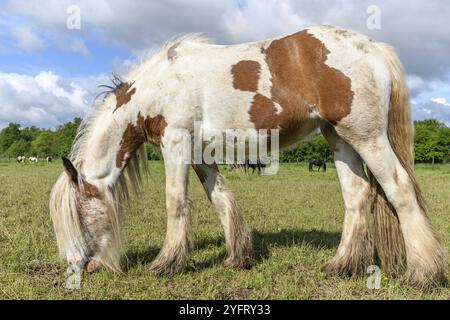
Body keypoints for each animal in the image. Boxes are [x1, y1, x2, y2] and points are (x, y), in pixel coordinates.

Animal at [50, 25, 446, 290]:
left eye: (80, 217)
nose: (79, 266)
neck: (161, 85)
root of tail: (372, 47)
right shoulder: (200, 153)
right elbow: (221, 199)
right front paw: (238, 257)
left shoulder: (175, 143)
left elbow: (176, 202)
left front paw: (166, 263)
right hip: (339, 139)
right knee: (357, 196)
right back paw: (341, 265)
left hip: (366, 136)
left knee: (400, 189)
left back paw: (424, 273)